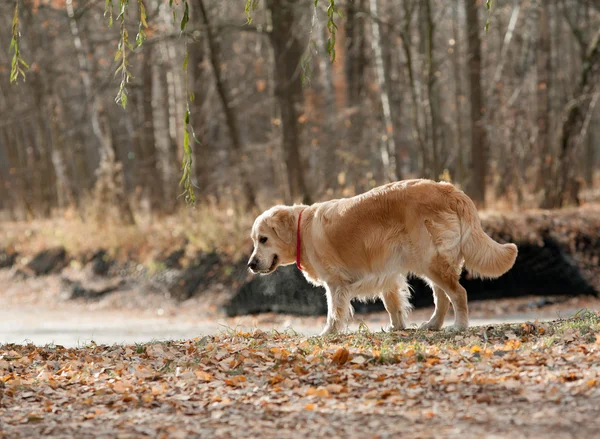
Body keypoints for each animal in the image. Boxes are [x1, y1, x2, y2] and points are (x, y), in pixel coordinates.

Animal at [246, 180, 516, 336]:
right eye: (254, 240)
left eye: (263, 239)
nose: (250, 264)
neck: (303, 229)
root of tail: (448, 189)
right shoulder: (387, 274)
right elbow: (392, 304)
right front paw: (397, 327)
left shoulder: (335, 283)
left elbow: (334, 310)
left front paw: (327, 333)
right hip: (430, 263)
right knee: (442, 297)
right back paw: (433, 325)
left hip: (430, 261)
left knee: (458, 294)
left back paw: (459, 326)